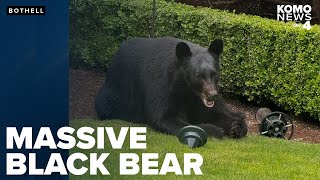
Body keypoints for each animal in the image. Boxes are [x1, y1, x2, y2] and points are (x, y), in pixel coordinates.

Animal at [95, 37, 248, 139]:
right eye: (197, 75)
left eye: (214, 73)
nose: (212, 95)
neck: (187, 89)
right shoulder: (162, 86)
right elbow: (163, 117)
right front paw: (214, 129)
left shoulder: (199, 99)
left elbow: (211, 113)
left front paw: (236, 126)